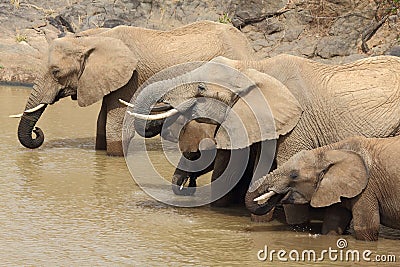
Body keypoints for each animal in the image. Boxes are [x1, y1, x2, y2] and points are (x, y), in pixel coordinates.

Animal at [14, 21, 256, 156]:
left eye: (56, 72)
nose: (37, 132)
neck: (94, 39)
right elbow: (102, 121)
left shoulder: (131, 78)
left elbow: (115, 124)